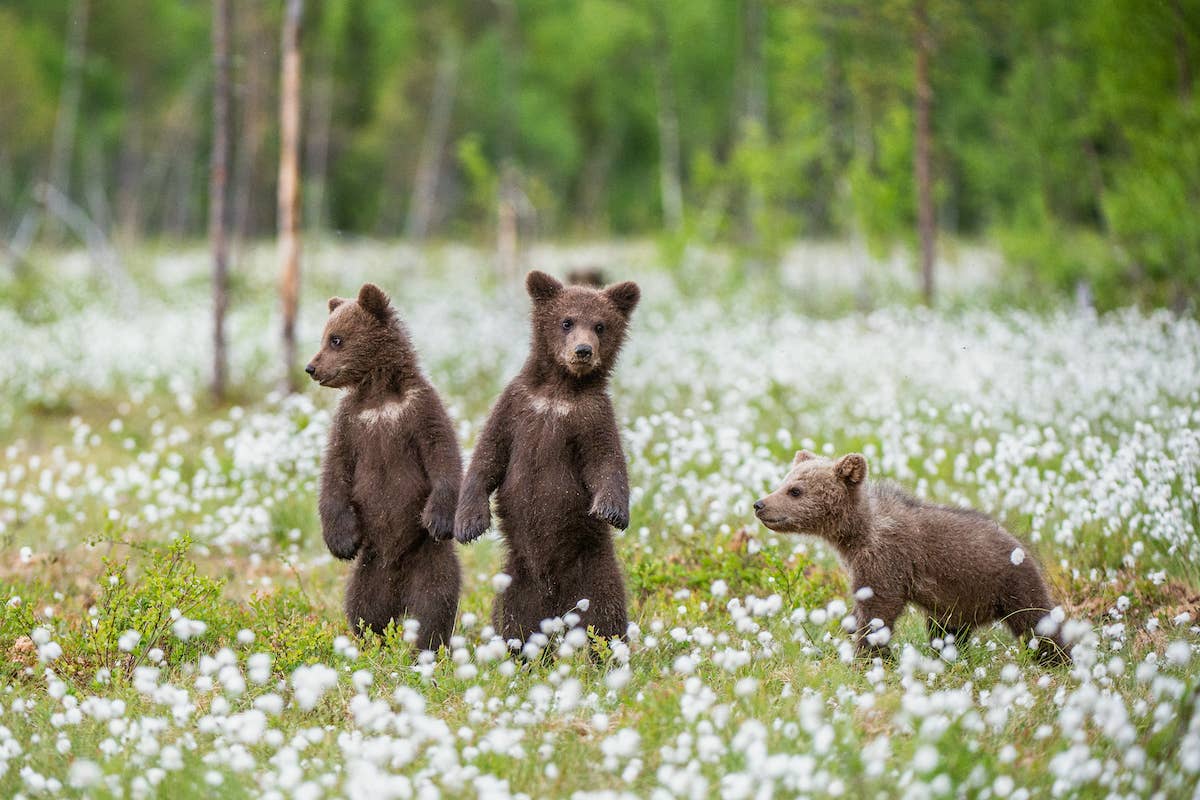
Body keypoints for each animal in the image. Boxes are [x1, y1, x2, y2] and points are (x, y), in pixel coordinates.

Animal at [305, 283, 462, 652]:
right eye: (325, 336)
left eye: (336, 339)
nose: (311, 367)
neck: (379, 395)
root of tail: (399, 590)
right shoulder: (351, 422)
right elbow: (335, 472)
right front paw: (341, 541)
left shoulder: (419, 409)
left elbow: (443, 454)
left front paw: (437, 516)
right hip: (370, 566)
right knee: (363, 605)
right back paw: (369, 641)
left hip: (429, 559)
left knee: (436, 600)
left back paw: (427, 645)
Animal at [454, 270, 640, 650]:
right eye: (566, 321)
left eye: (600, 325)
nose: (583, 350)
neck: (559, 392)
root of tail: (556, 603)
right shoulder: (517, 406)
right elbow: (488, 456)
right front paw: (469, 523)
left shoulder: (590, 417)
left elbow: (606, 461)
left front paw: (612, 509)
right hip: (517, 579)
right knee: (514, 622)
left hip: (594, 572)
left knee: (606, 615)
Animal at [754, 450, 1070, 664]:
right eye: (784, 482)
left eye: (795, 490)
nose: (760, 504)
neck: (856, 535)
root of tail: (1021, 545)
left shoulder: (886, 559)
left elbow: (879, 608)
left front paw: (868, 655)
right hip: (957, 603)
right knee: (947, 632)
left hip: (1009, 584)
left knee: (1036, 621)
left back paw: (1056, 659)